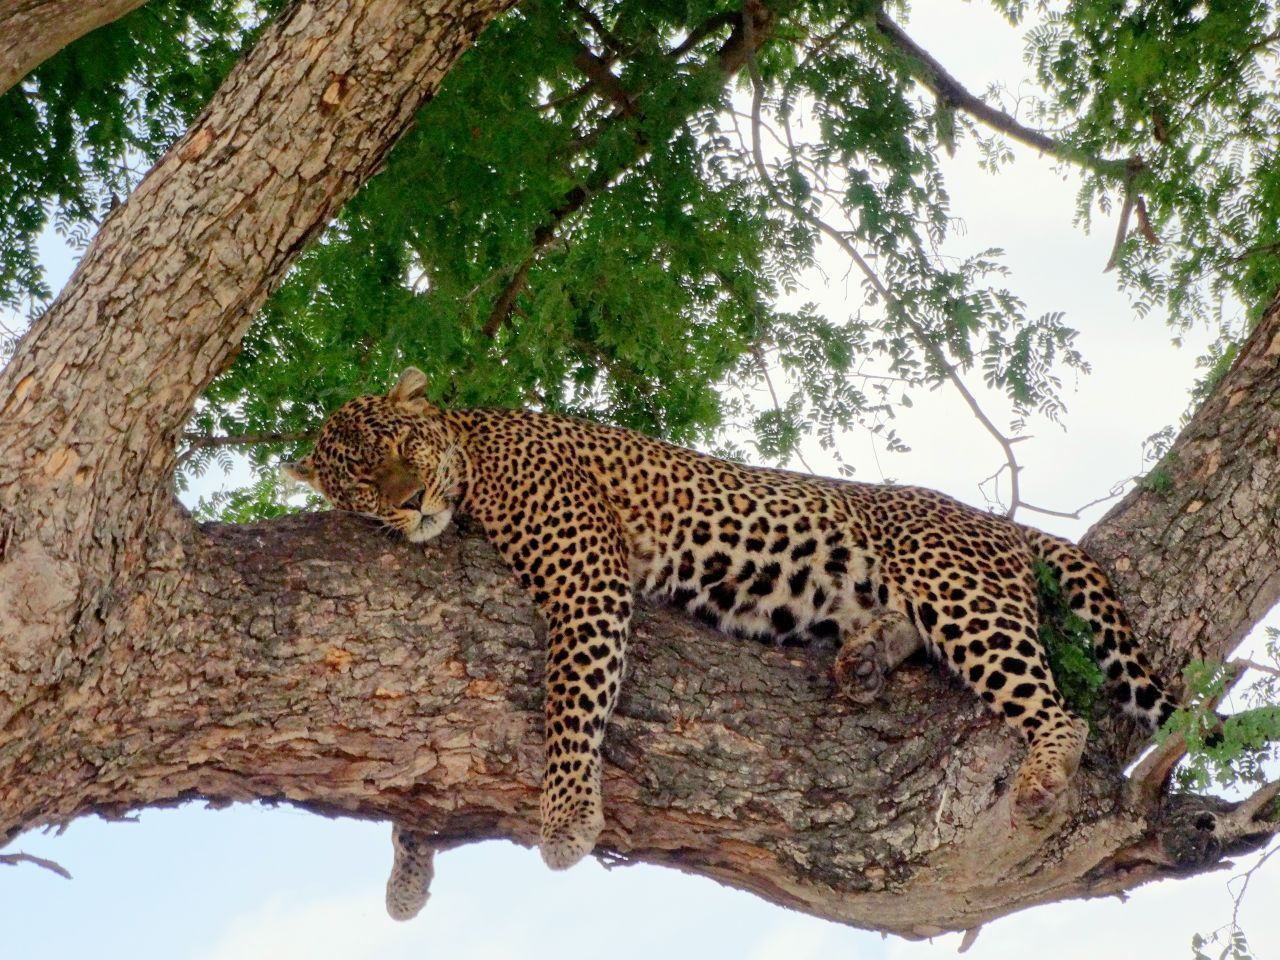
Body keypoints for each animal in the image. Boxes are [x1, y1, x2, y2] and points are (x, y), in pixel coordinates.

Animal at [285, 371, 1172, 916]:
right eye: (362, 482)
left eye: (402, 449)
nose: (410, 502)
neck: (471, 446)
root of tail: (995, 523)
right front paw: (408, 870)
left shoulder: (586, 579)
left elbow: (571, 702)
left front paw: (566, 818)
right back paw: (864, 659)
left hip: (961, 592)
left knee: (1060, 711)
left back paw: (1040, 772)